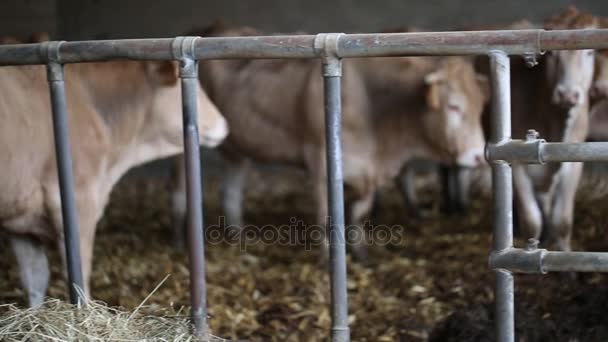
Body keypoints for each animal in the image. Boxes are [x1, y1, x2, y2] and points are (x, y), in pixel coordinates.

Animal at [0, 59, 228, 308]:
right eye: (192, 90)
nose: (224, 124)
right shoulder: (78, 202)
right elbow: (79, 278)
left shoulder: (20, 221)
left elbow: (36, 279)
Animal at [171, 23, 490, 260]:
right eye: (453, 106)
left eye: (480, 107)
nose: (478, 155)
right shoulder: (319, 161)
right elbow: (326, 216)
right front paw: (327, 258)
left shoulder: (366, 170)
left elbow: (359, 213)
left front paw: (361, 254)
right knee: (182, 189)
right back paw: (181, 235)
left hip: (237, 149)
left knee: (231, 190)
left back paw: (238, 236)